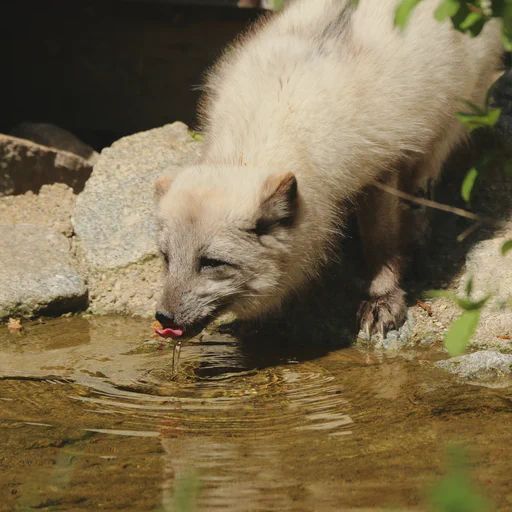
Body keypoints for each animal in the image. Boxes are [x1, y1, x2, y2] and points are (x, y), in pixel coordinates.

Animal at [153, 0, 504, 340]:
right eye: (166, 258)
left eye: (212, 263)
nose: (163, 317)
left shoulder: (380, 170)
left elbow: (381, 244)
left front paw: (382, 299)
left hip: (449, 124)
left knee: (422, 190)